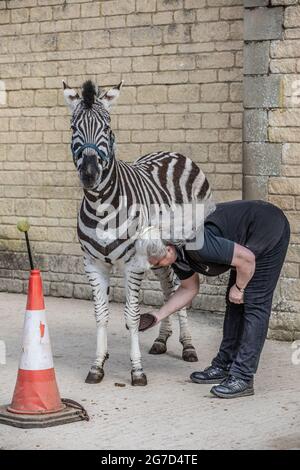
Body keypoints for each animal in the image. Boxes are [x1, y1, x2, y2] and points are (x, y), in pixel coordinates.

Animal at [62, 80, 213, 386]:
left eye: (107, 127)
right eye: (74, 127)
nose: (89, 174)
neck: (101, 206)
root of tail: (175, 153)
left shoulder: (133, 263)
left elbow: (131, 316)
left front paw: (137, 370)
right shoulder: (93, 264)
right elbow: (101, 315)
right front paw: (98, 365)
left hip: (184, 246)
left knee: (180, 289)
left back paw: (188, 346)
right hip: (160, 252)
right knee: (169, 289)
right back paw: (162, 340)